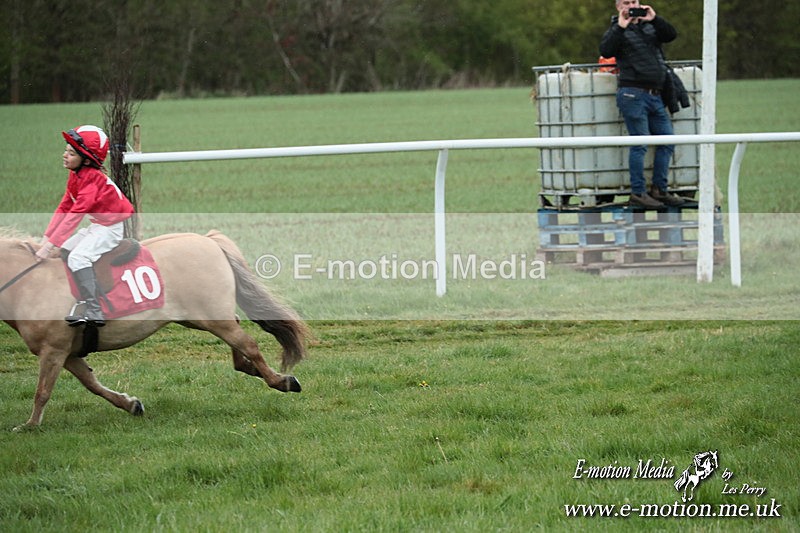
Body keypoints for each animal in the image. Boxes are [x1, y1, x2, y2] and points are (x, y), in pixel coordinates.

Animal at [0, 230, 308, 430]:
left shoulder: (53, 350)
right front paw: (130, 404)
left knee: (248, 344)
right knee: (239, 340)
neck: (29, 285)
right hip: (200, 317)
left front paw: (29, 425)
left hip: (211, 317)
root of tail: (208, 240)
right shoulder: (68, 353)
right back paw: (254, 369)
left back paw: (280, 380)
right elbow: (92, 384)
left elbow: (42, 391)